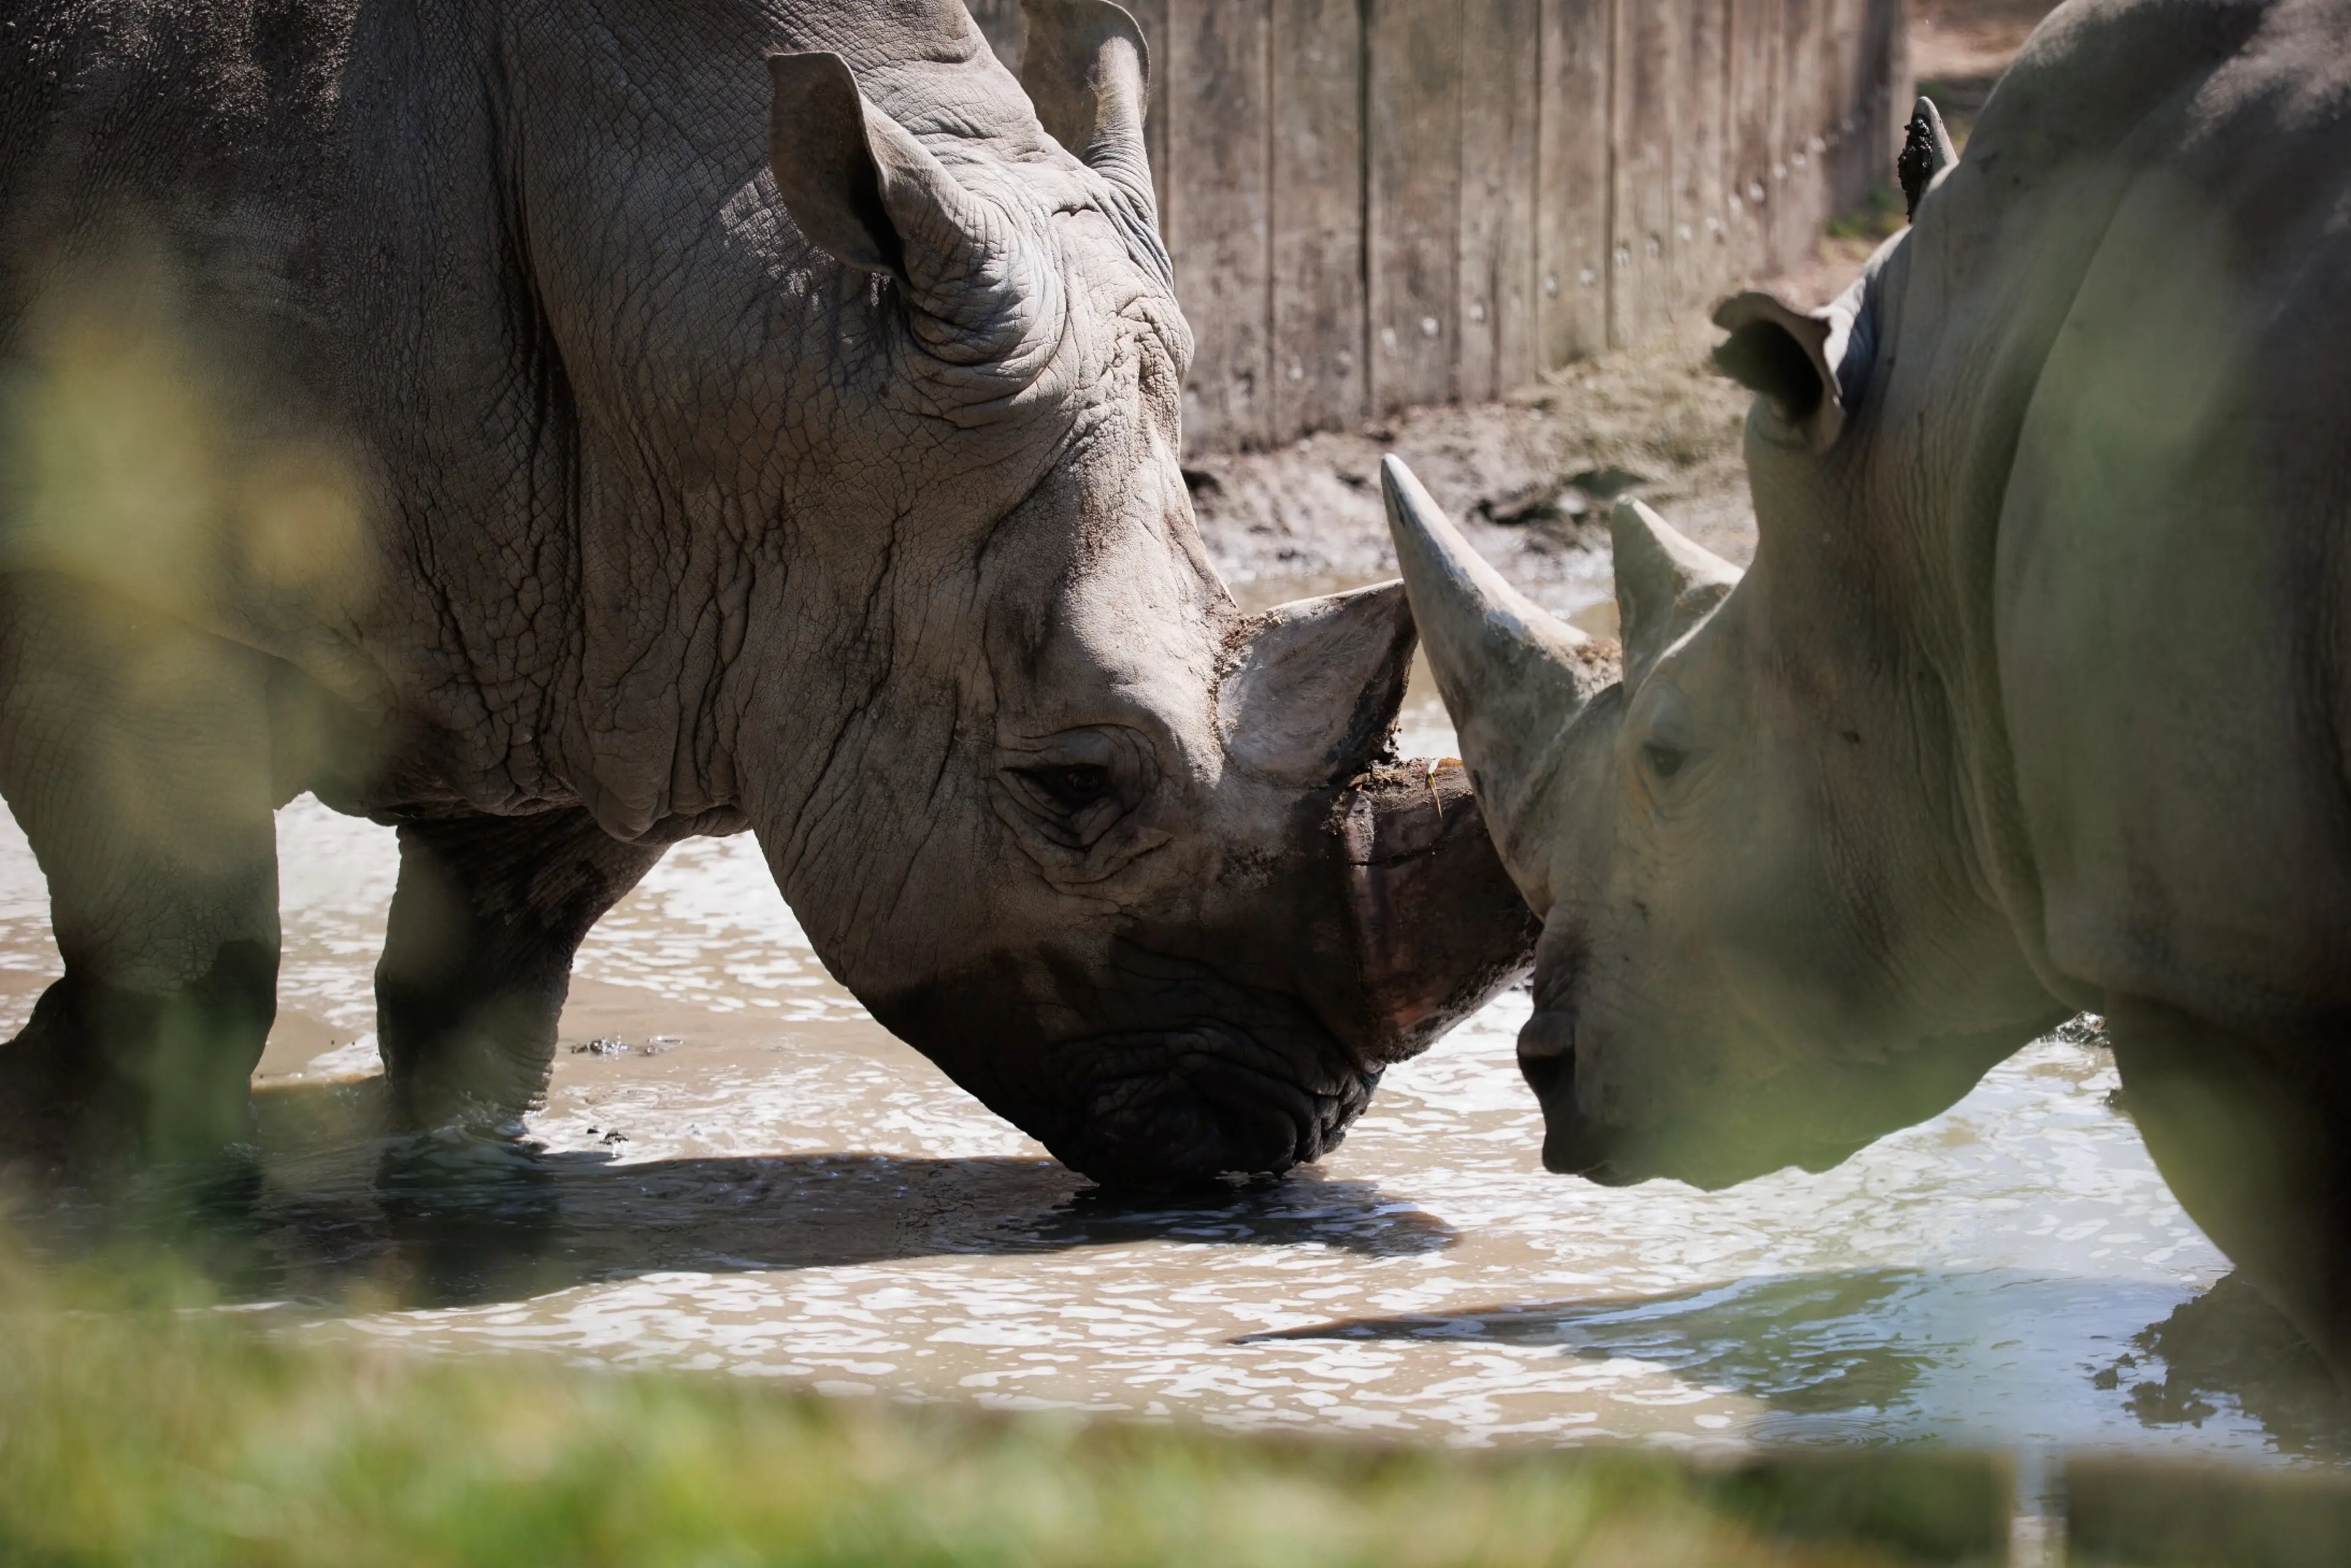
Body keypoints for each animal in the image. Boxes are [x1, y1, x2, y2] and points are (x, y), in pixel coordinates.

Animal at [0, 0, 1535, 1187]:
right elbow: (200, 947)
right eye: (1074, 784)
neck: (745, 322)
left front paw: (458, 1159)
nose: (1278, 1140)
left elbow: (492, 970)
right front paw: (87, 1154)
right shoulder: (99, 574)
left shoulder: (620, 622)